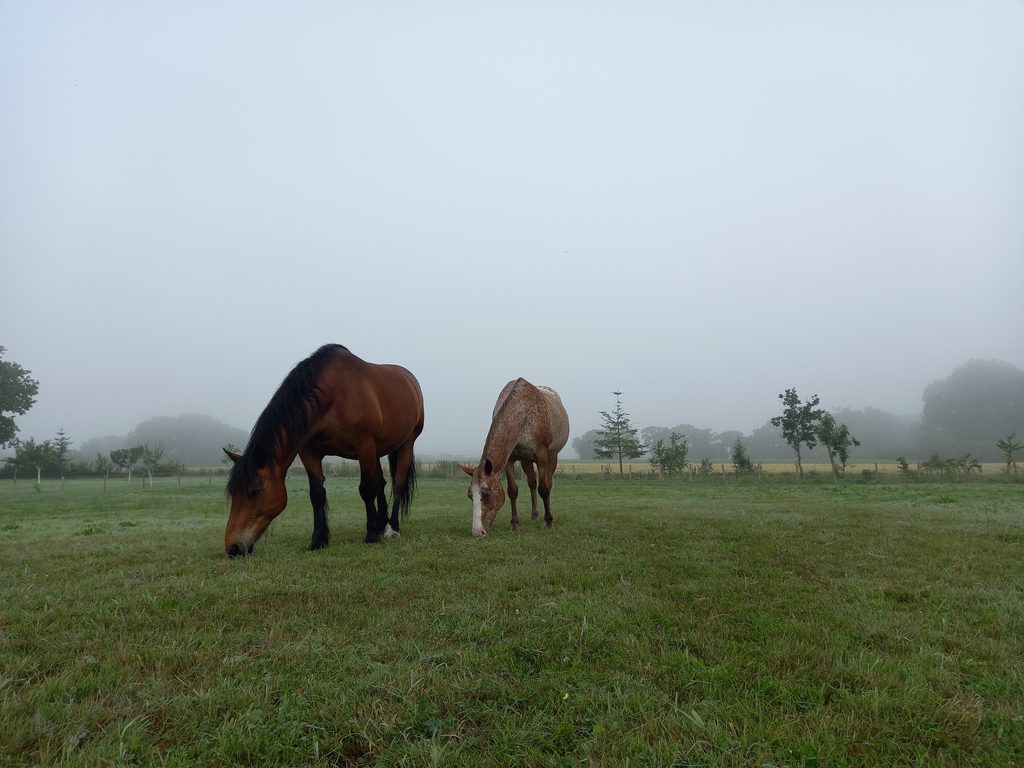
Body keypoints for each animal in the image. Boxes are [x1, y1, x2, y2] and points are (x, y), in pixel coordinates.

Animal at [224, 344, 424, 556]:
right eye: (232, 493)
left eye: (254, 492)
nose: (233, 548)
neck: (333, 397)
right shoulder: (309, 453)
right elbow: (317, 494)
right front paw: (318, 540)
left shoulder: (365, 447)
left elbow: (366, 489)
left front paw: (370, 536)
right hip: (377, 452)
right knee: (381, 483)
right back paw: (381, 525)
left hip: (405, 444)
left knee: (397, 483)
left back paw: (391, 528)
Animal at [461, 379, 569, 537]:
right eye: (470, 496)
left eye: (486, 494)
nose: (477, 532)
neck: (523, 414)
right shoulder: (510, 460)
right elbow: (512, 491)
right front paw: (514, 524)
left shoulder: (541, 457)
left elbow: (544, 489)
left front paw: (549, 522)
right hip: (526, 460)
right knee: (532, 483)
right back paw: (534, 515)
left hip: (552, 457)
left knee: (548, 484)